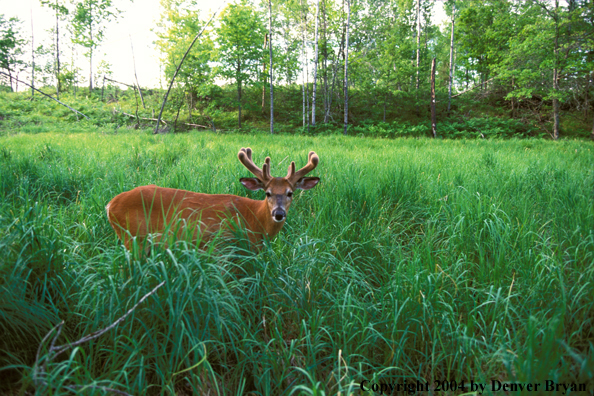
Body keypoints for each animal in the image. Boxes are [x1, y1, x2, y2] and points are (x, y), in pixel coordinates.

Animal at [106, 147, 320, 252]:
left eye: (290, 193)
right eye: (267, 193)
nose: (279, 213)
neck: (254, 221)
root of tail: (110, 205)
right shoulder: (222, 245)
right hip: (132, 237)